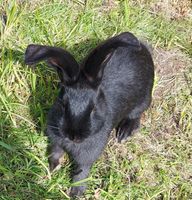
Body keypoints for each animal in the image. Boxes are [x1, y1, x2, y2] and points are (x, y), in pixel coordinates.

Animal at [24, 32, 154, 196]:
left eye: (93, 109)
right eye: (63, 104)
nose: (74, 136)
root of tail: (143, 48)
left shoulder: (88, 155)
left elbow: (82, 171)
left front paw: (75, 193)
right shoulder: (56, 140)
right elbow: (55, 152)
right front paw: (53, 168)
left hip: (143, 99)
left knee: (136, 115)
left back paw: (124, 133)